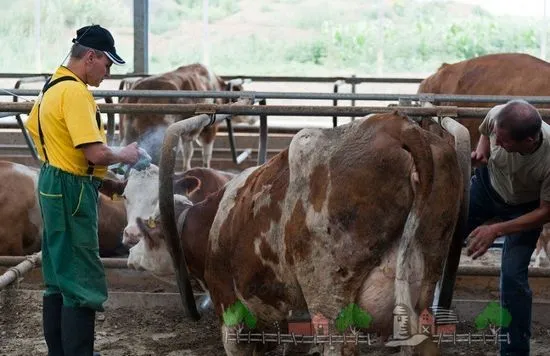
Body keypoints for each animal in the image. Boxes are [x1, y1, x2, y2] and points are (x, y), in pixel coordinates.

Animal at [119, 63, 253, 171]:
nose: (253, 118)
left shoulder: (187, 131)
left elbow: (188, 152)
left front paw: (186, 169)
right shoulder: (210, 128)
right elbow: (207, 153)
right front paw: (206, 169)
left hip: (128, 134)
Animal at [123, 112, 464, 354]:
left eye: (149, 228)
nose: (128, 246)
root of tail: (397, 126)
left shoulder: (231, 310)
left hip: (328, 291)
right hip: (424, 279)